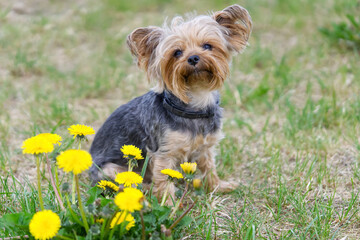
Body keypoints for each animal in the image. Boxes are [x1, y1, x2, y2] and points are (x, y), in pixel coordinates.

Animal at [90, 5, 253, 201]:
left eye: (208, 46)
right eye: (177, 52)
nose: (193, 58)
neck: (194, 104)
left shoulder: (205, 148)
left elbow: (209, 168)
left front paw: (217, 187)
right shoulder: (163, 154)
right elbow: (163, 181)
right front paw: (167, 203)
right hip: (110, 170)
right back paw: (145, 189)